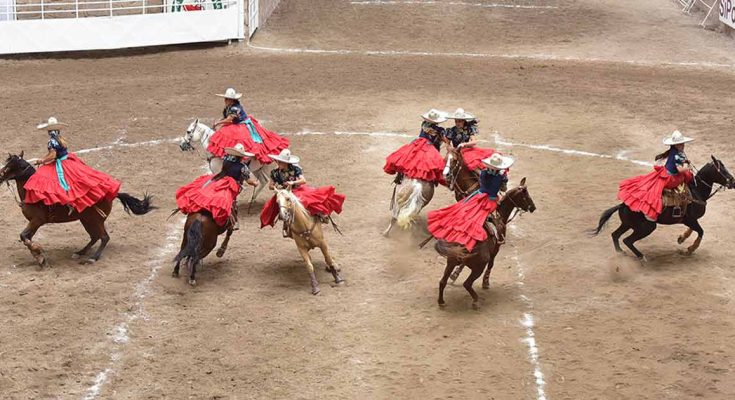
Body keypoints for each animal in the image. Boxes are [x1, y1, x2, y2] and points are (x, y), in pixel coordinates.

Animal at [0, 152, 154, 268]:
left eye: (8, 166)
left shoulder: (37, 221)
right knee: (95, 237)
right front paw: (39, 257)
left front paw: (40, 256)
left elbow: (23, 236)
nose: (0, 176)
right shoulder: (34, 223)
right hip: (86, 220)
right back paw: (80, 252)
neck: (30, 191)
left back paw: (92, 258)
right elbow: (26, 238)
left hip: (95, 220)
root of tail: (112, 193)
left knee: (104, 237)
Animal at [434, 178, 536, 310]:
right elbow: (491, 264)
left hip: (451, 261)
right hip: (478, 267)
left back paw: (441, 301)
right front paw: (486, 282)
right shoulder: (495, 249)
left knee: (442, 281)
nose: (533, 207)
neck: (499, 216)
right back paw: (475, 301)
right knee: (467, 284)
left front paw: (455, 274)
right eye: (526, 196)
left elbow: (460, 267)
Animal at [592, 156, 735, 262]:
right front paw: (689, 249)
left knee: (615, 235)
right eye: (722, 169)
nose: (733, 181)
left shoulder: (691, 220)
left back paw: (621, 253)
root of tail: (622, 205)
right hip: (646, 227)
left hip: (627, 224)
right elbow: (701, 231)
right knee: (627, 240)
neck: (696, 191)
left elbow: (694, 230)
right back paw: (641, 257)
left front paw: (681, 238)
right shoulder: (690, 220)